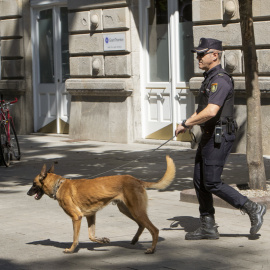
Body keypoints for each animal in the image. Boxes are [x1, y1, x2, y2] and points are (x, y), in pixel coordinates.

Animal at [27, 155, 175, 254]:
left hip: (136, 211)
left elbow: (76, 238)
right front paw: (103, 240)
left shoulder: (76, 217)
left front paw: (71, 250)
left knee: (154, 229)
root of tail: (136, 180)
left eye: (33, 184)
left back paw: (151, 249)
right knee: (142, 225)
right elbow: (91, 236)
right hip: (127, 210)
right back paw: (134, 240)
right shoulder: (90, 216)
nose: (28, 193)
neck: (59, 185)